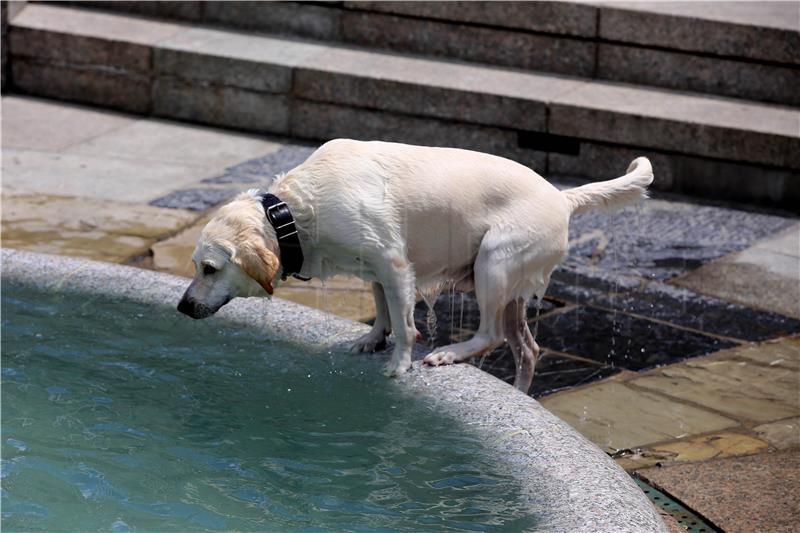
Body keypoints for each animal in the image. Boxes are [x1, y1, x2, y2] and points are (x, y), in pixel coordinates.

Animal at [177, 139, 648, 392]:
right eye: (196, 265)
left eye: (209, 269)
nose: (181, 307)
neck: (292, 211)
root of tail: (562, 197)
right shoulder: (375, 270)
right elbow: (382, 311)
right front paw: (372, 339)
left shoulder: (394, 263)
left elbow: (405, 325)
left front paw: (399, 364)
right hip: (510, 284)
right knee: (527, 350)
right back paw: (521, 393)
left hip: (494, 261)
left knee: (491, 334)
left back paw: (448, 354)